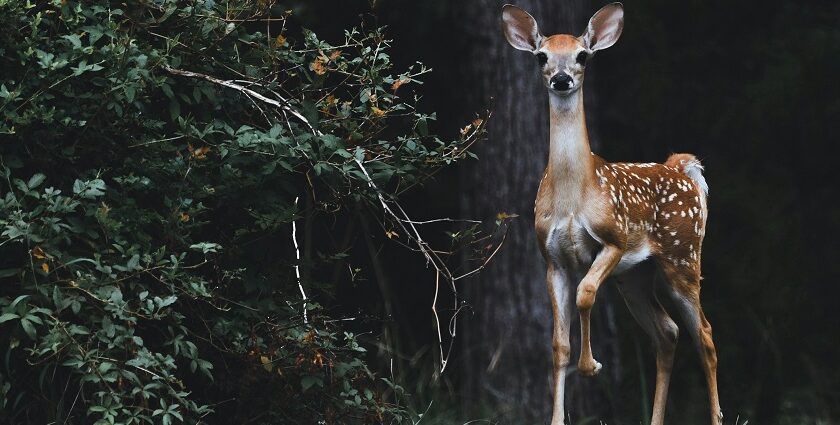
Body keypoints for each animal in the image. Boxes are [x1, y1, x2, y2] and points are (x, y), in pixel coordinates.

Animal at [502, 3, 724, 424]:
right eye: (541, 56)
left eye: (582, 56)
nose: (560, 79)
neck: (573, 196)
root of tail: (682, 167)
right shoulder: (552, 258)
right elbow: (558, 344)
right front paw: (557, 416)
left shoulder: (614, 238)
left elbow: (586, 294)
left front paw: (592, 366)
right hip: (635, 276)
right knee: (667, 331)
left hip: (683, 256)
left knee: (704, 333)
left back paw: (717, 416)